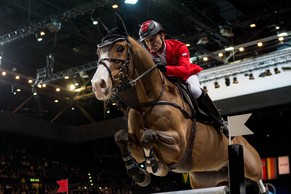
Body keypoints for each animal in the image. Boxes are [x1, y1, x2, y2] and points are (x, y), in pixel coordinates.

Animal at [90, 12, 270, 193]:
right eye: (98, 52)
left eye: (120, 48)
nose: (98, 85)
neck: (148, 100)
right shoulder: (136, 148)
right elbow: (121, 136)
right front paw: (139, 173)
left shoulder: (178, 145)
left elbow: (148, 135)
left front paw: (152, 164)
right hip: (205, 180)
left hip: (251, 165)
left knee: (259, 180)